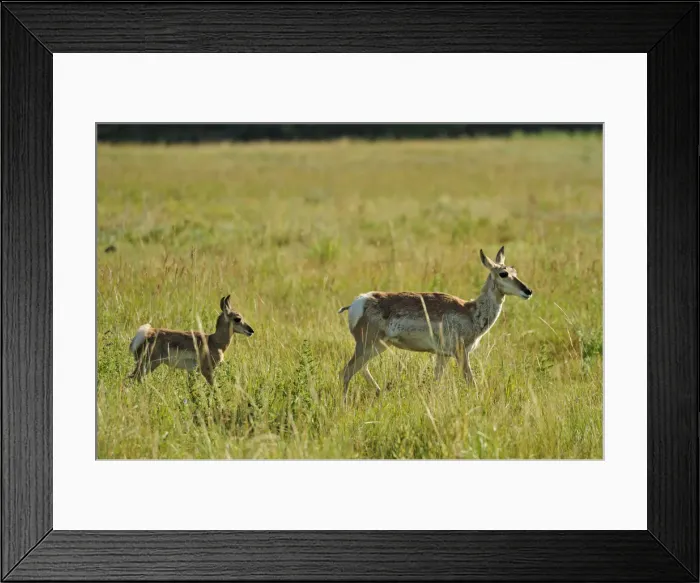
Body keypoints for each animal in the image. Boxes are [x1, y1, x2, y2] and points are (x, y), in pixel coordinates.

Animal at [338, 246, 532, 400]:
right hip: (368, 345)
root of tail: (358, 302)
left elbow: (436, 381)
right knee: (346, 372)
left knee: (361, 369)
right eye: (503, 273)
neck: (470, 311)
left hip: (377, 346)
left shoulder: (442, 355)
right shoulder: (460, 353)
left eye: (515, 271)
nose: (528, 291)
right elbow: (471, 381)